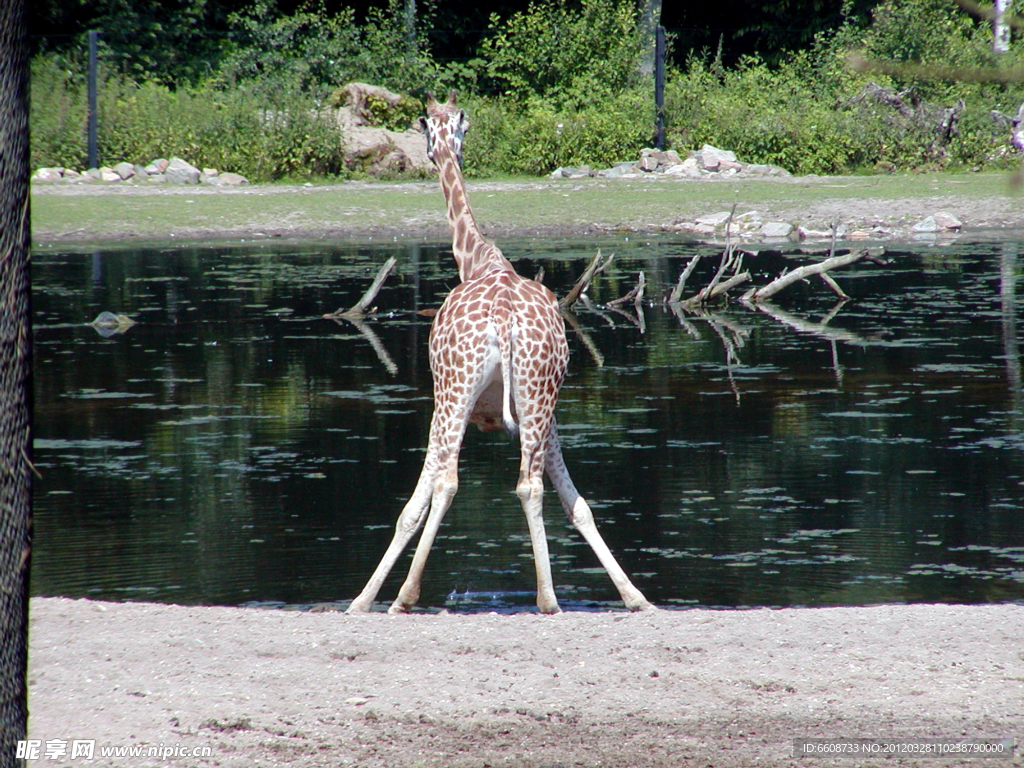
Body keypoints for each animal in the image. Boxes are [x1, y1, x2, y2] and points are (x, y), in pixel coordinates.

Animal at [344, 93, 647, 618]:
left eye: (429, 131)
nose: (436, 153)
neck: (479, 259)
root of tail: (504, 319)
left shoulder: (447, 404)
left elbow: (414, 504)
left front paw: (366, 599)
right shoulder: (542, 417)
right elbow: (578, 503)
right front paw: (634, 596)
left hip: (455, 389)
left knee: (449, 482)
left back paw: (417, 596)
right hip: (538, 394)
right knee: (531, 484)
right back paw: (563, 597)